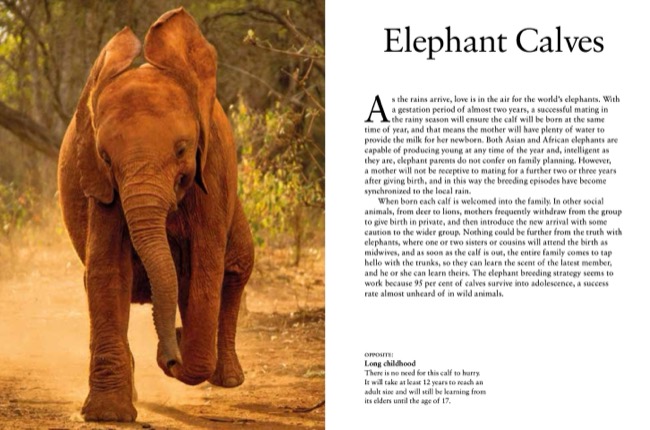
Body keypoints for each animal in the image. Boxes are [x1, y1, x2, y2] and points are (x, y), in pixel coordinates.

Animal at [57, 8, 254, 422]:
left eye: (181, 149)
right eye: (105, 157)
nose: (169, 353)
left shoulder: (211, 173)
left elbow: (206, 270)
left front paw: (177, 352)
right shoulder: (103, 186)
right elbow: (106, 271)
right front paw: (109, 415)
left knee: (237, 267)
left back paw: (227, 378)